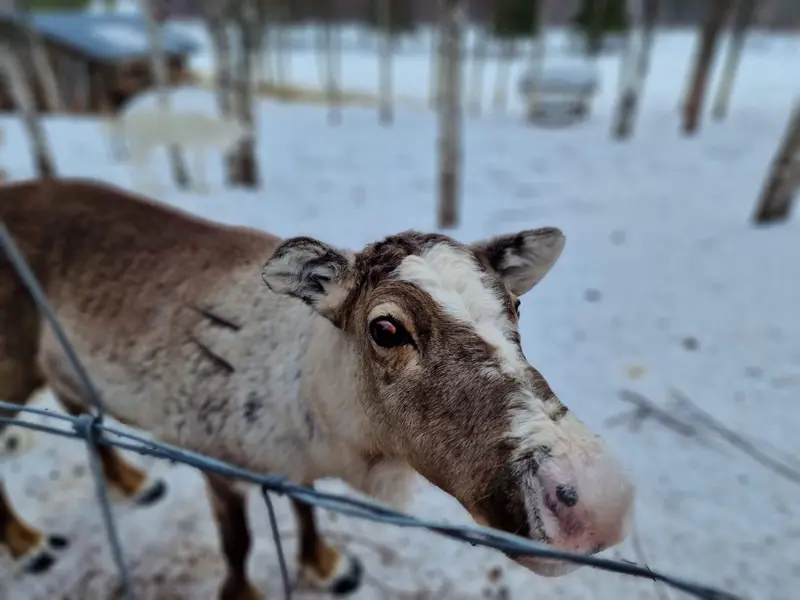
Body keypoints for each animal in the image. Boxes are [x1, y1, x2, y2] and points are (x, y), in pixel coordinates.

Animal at [0, 178, 636, 600]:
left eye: (516, 306)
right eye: (386, 328)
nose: (593, 498)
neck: (319, 420)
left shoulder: (292, 465)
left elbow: (304, 507)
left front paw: (325, 565)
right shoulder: (211, 450)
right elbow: (238, 544)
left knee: (74, 402)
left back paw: (131, 481)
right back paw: (29, 544)